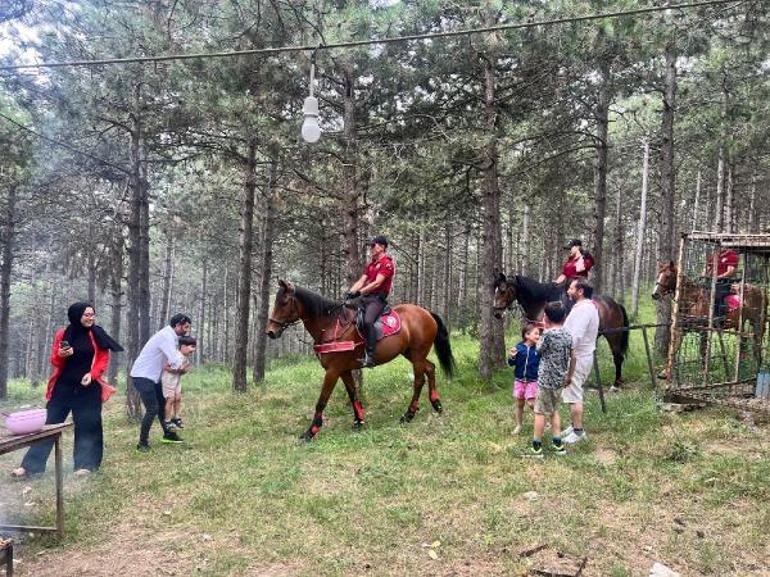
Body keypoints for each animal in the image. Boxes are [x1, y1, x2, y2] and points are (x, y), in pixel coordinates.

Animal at [266, 282, 452, 438]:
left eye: (283, 302)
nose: (270, 332)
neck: (331, 325)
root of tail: (426, 313)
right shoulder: (344, 370)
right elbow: (353, 394)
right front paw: (359, 421)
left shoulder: (332, 371)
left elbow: (321, 401)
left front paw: (311, 431)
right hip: (411, 354)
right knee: (431, 368)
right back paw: (436, 404)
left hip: (417, 354)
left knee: (419, 380)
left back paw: (409, 414)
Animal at [496, 272, 628, 388]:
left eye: (503, 291)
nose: (496, 313)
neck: (541, 304)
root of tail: (615, 304)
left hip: (614, 335)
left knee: (617, 357)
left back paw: (615, 384)